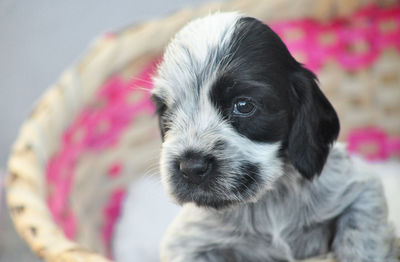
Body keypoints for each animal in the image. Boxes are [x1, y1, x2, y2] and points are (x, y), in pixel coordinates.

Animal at [150, 12, 396, 262]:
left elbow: (361, 236)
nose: (191, 167)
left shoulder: (361, 189)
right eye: (166, 110)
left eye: (243, 105)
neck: (267, 198)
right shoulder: (187, 244)